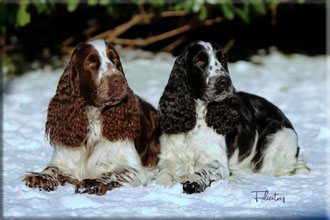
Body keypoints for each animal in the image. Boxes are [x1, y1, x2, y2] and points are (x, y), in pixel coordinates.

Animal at [22, 38, 160, 195]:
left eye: (115, 60)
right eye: (91, 63)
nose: (118, 80)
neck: (93, 120)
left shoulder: (133, 169)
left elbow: (111, 173)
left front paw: (92, 183)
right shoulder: (63, 158)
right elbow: (52, 168)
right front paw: (41, 177)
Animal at [156, 40, 308, 193]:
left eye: (222, 59)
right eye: (200, 61)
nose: (225, 81)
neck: (196, 119)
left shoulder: (219, 161)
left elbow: (205, 169)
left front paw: (193, 181)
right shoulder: (168, 156)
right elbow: (164, 170)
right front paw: (165, 184)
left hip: (280, 138)